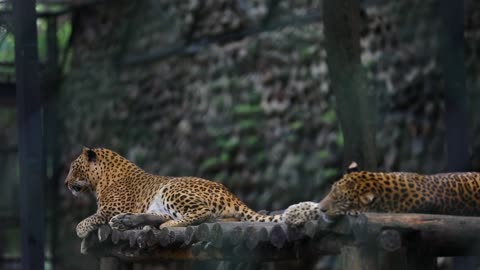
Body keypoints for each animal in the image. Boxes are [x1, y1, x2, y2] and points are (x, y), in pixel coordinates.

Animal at [63, 147, 282, 237]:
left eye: (73, 167)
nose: (65, 183)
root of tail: (230, 193)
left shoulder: (109, 210)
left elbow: (87, 220)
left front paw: (80, 230)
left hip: (172, 187)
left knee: (202, 213)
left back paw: (163, 224)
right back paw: (127, 221)